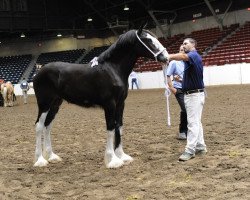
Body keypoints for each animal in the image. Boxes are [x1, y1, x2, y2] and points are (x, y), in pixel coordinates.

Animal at [32, 25, 168, 169]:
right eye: (148, 40)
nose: (166, 57)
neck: (112, 69)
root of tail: (38, 72)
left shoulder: (121, 104)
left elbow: (119, 126)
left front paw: (122, 156)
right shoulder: (110, 104)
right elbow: (111, 127)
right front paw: (112, 160)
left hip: (55, 104)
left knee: (47, 126)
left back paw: (51, 156)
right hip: (44, 103)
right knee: (39, 126)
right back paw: (40, 160)